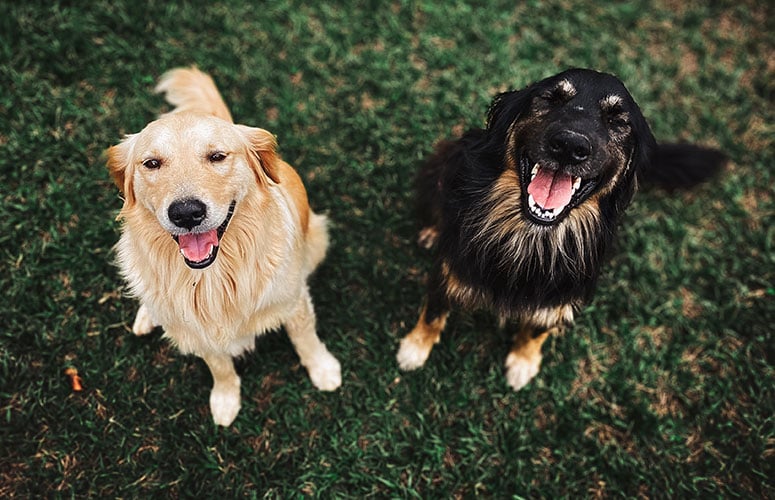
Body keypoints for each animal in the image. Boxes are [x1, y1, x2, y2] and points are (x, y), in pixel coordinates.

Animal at [398, 68, 724, 390]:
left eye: (617, 120)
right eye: (551, 99)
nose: (570, 146)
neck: (532, 235)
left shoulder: (560, 296)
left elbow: (537, 328)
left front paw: (523, 362)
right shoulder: (449, 267)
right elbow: (434, 312)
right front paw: (414, 349)